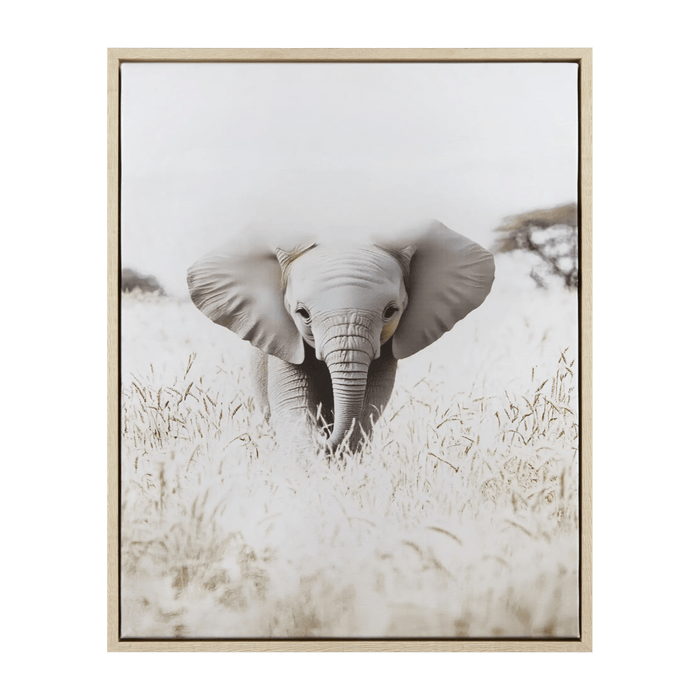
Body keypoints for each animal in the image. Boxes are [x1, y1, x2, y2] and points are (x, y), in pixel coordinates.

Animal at [187, 220, 495, 453]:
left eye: (390, 311)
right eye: (302, 313)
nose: (324, 437)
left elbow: (367, 409)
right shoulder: (285, 340)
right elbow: (293, 408)